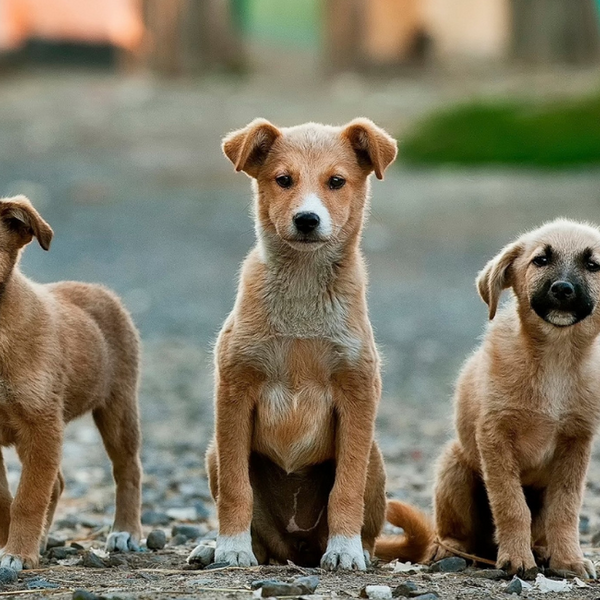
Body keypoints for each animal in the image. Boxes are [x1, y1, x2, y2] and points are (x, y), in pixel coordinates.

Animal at [0, 195, 142, 568]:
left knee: (128, 470)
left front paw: (16, 554)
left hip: (118, 409)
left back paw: (126, 532)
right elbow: (6, 498)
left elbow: (27, 499)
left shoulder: (42, 425)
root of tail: (98, 289)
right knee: (58, 483)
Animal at [378, 221, 600, 580]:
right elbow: (511, 504)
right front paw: (516, 559)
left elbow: (565, 509)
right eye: (541, 260)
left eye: (593, 265)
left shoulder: (576, 442)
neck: (555, 359)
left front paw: (568, 560)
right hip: (454, 467)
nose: (563, 289)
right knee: (455, 533)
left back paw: (542, 550)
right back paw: (450, 549)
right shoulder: (495, 436)